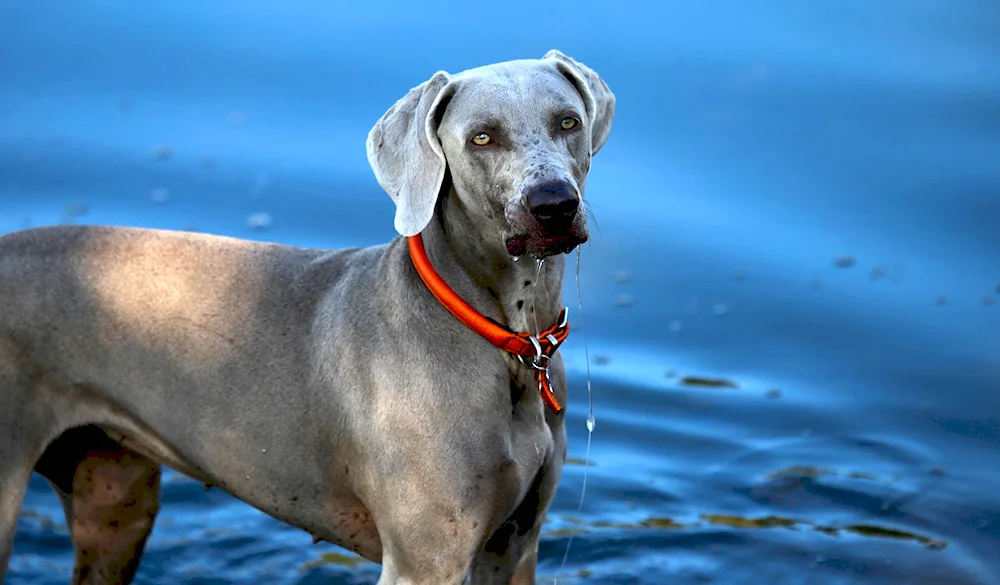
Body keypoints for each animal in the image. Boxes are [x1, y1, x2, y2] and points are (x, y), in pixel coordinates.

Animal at [0, 51, 612, 584]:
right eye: (482, 137)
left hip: (114, 497)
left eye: (568, 121)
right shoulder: (423, 561)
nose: (554, 204)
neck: (509, 341)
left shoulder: (514, 547)